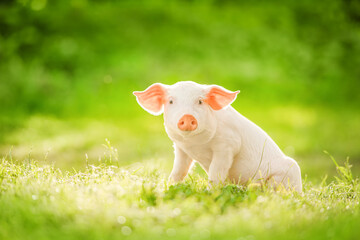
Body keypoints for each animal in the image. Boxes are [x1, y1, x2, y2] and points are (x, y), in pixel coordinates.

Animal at [134, 81, 302, 192]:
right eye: (170, 101)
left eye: (200, 101)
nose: (187, 117)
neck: (195, 144)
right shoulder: (181, 149)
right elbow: (179, 170)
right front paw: (168, 186)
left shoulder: (228, 145)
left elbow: (217, 170)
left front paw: (209, 192)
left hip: (289, 172)